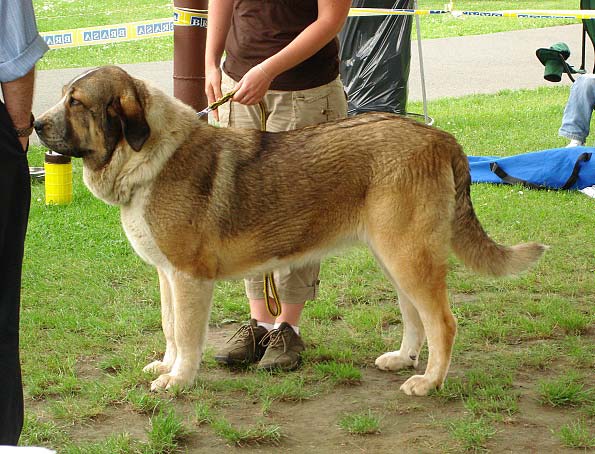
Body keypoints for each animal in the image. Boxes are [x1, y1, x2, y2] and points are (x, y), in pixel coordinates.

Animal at [33, 65, 544, 396]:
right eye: (63, 96)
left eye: (76, 103)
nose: (35, 125)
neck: (148, 155)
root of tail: (440, 138)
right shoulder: (167, 276)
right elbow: (171, 327)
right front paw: (167, 364)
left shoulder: (188, 278)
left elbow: (189, 336)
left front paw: (178, 380)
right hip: (395, 258)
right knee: (415, 316)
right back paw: (403, 359)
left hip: (409, 257)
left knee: (443, 322)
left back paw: (429, 382)